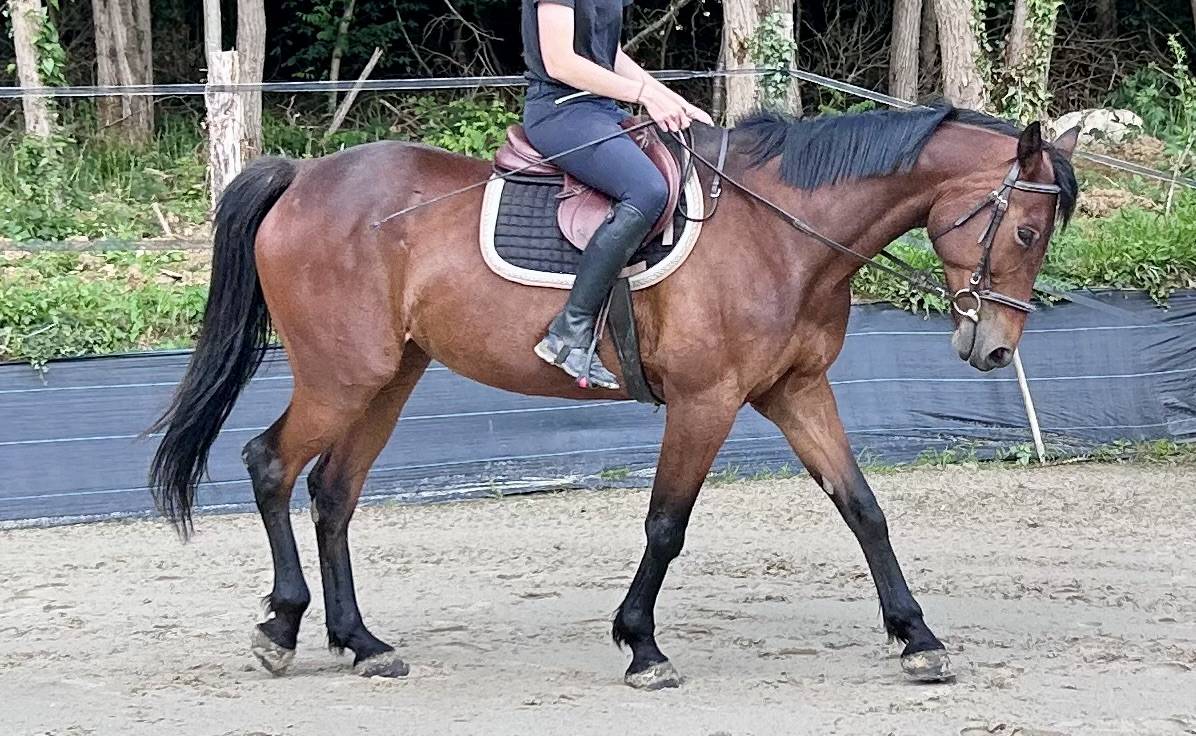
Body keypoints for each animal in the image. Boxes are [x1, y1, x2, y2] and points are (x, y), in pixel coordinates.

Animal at [148, 102, 1079, 689]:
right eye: (1026, 230)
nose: (994, 350)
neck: (782, 232)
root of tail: (303, 178)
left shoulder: (796, 391)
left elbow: (864, 509)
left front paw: (918, 638)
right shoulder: (707, 401)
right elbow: (666, 525)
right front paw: (641, 647)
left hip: (389, 378)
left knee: (334, 491)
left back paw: (362, 643)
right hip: (342, 374)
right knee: (271, 464)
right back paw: (281, 628)